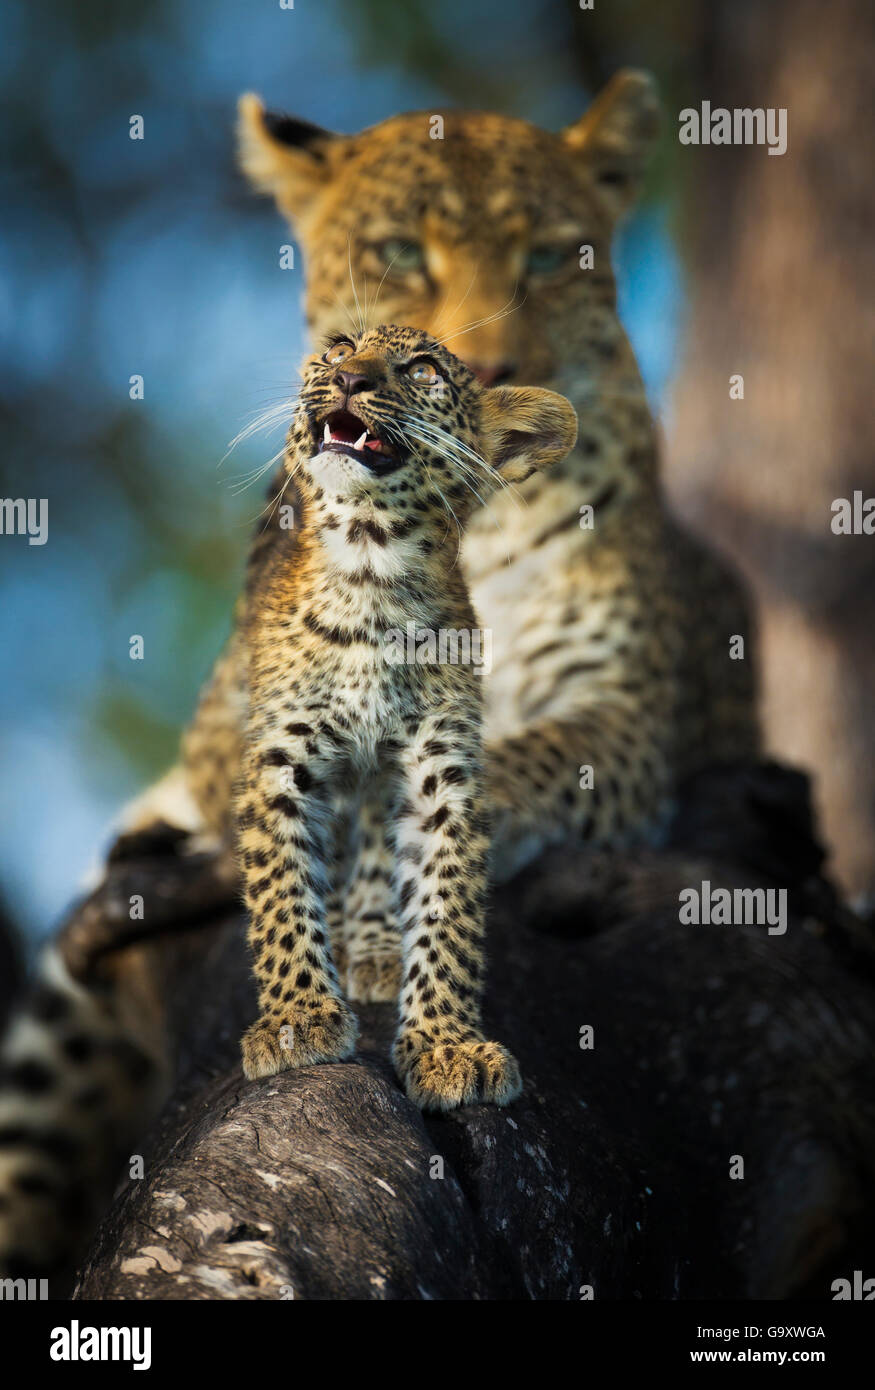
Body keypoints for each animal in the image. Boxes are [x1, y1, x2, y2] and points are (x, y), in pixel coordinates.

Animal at [231, 323, 576, 1107]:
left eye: (421, 370)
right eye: (337, 349)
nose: (349, 378)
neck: (370, 565)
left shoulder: (439, 773)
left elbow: (447, 912)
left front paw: (446, 1045)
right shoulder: (281, 759)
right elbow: (280, 891)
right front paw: (297, 1019)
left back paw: (376, 946)